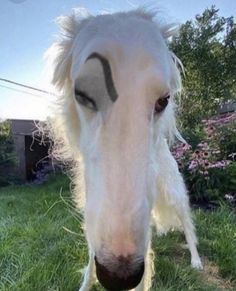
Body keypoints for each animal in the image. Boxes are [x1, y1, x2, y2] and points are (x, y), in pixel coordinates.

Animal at [46, 8, 203, 291]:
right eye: (82, 95)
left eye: (164, 100)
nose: (119, 278)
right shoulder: (94, 213)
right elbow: (90, 261)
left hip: (173, 191)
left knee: (188, 224)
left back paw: (196, 260)